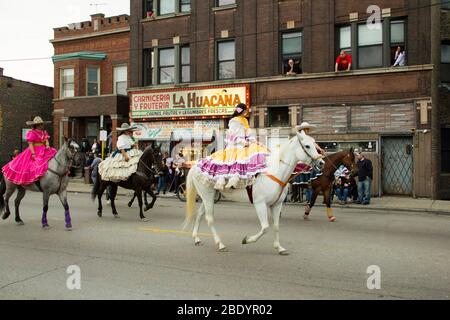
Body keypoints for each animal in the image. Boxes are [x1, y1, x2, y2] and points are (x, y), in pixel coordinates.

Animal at [185, 130, 326, 255]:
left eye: (315, 144)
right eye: (307, 146)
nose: (321, 162)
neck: (275, 172)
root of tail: (196, 165)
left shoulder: (277, 205)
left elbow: (276, 226)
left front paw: (280, 248)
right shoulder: (260, 204)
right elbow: (265, 228)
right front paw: (247, 240)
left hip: (209, 197)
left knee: (200, 215)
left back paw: (197, 238)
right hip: (207, 196)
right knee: (209, 219)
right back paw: (220, 244)